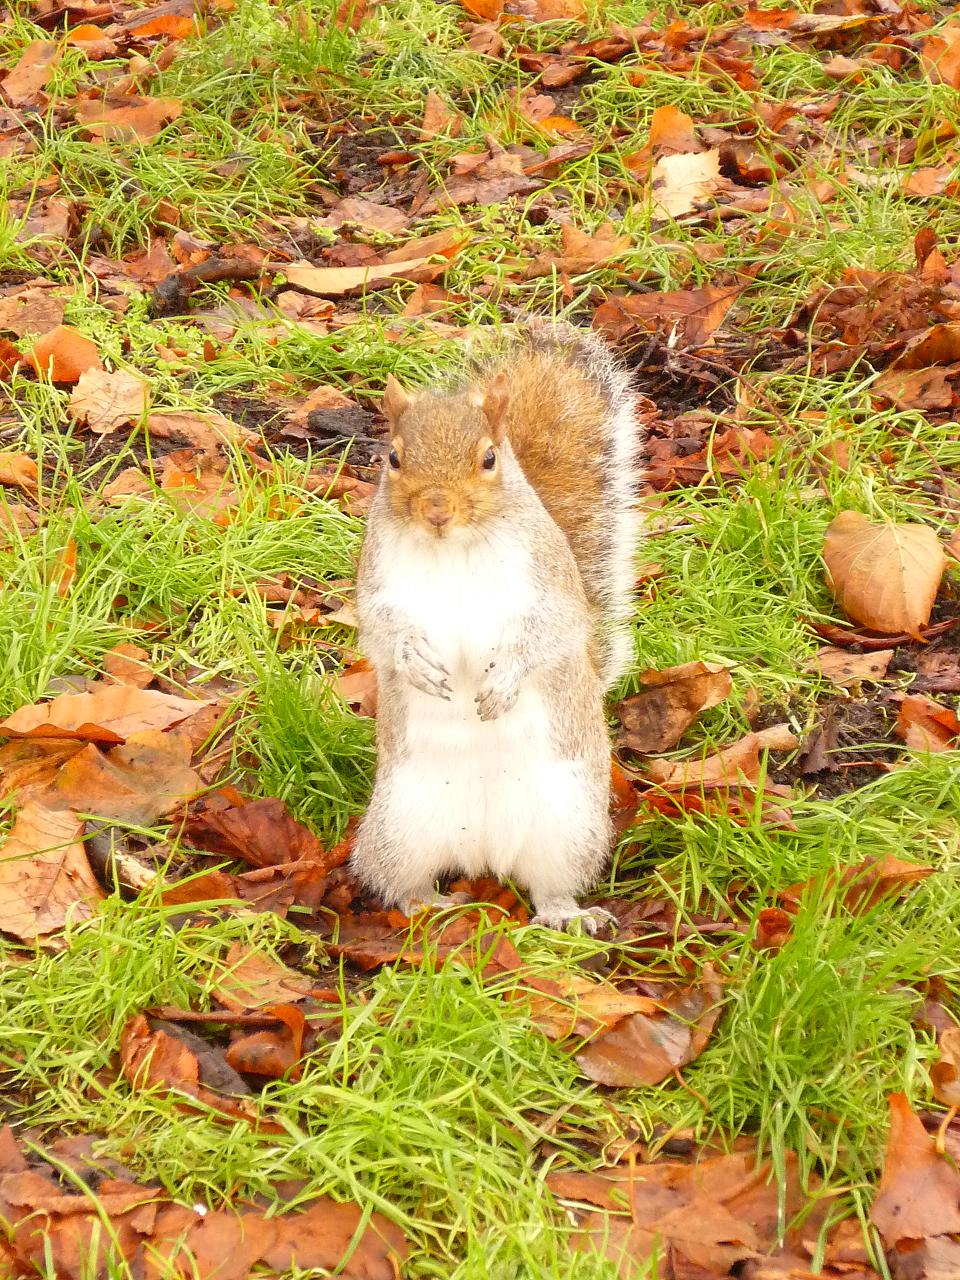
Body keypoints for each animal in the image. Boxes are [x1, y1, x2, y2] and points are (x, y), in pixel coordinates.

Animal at [349, 325, 642, 934]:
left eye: (488, 458)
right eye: (392, 457)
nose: (436, 509)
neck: (453, 548)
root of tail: (481, 850)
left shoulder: (549, 583)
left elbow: (550, 629)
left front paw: (504, 680)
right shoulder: (377, 583)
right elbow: (383, 630)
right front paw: (415, 662)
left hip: (568, 824)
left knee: (551, 884)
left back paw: (567, 915)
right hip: (399, 826)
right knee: (397, 878)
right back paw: (424, 905)